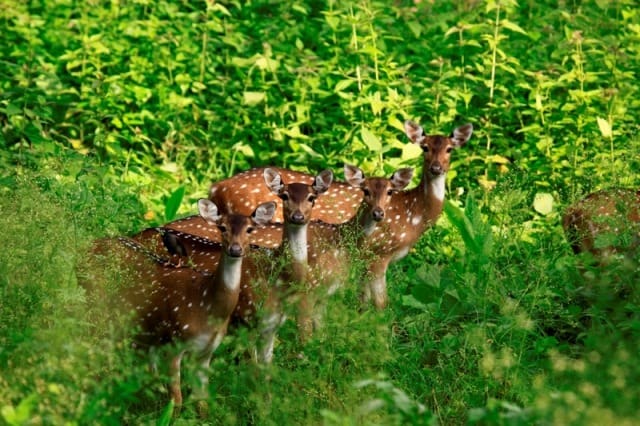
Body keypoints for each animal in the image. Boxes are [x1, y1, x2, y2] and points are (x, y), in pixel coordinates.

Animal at [80, 200, 276, 406]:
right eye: (222, 227)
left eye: (250, 229)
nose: (236, 249)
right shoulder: (172, 343)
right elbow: (177, 401)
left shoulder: (206, 351)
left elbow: (202, 402)